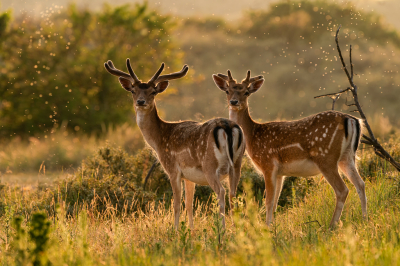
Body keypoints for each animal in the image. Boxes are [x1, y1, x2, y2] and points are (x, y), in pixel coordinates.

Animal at [104, 59, 245, 229]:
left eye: (153, 91)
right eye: (133, 90)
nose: (140, 101)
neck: (159, 139)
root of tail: (227, 127)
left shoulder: (172, 169)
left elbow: (176, 203)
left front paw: (175, 230)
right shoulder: (189, 176)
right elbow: (189, 204)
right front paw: (191, 230)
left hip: (210, 166)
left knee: (221, 192)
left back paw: (222, 229)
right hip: (237, 164)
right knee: (233, 193)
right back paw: (235, 229)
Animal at [214, 69, 368, 228]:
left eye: (246, 92)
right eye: (227, 91)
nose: (233, 102)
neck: (252, 135)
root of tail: (352, 120)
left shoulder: (268, 164)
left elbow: (268, 201)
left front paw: (266, 227)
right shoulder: (280, 173)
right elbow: (274, 203)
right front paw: (272, 227)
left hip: (326, 157)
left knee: (342, 189)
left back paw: (332, 225)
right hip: (347, 157)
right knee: (361, 184)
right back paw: (364, 219)